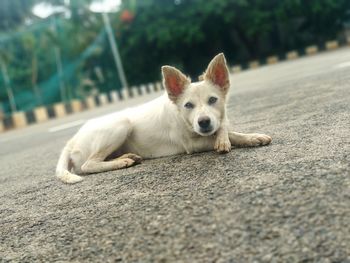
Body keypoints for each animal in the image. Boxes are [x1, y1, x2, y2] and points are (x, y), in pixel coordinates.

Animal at [56, 53, 272, 185]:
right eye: (188, 105)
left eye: (213, 100)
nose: (203, 122)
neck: (183, 118)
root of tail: (72, 139)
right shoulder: (191, 144)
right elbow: (228, 134)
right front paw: (231, 140)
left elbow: (225, 127)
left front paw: (250, 137)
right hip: (121, 124)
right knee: (88, 165)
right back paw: (122, 162)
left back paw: (127, 157)